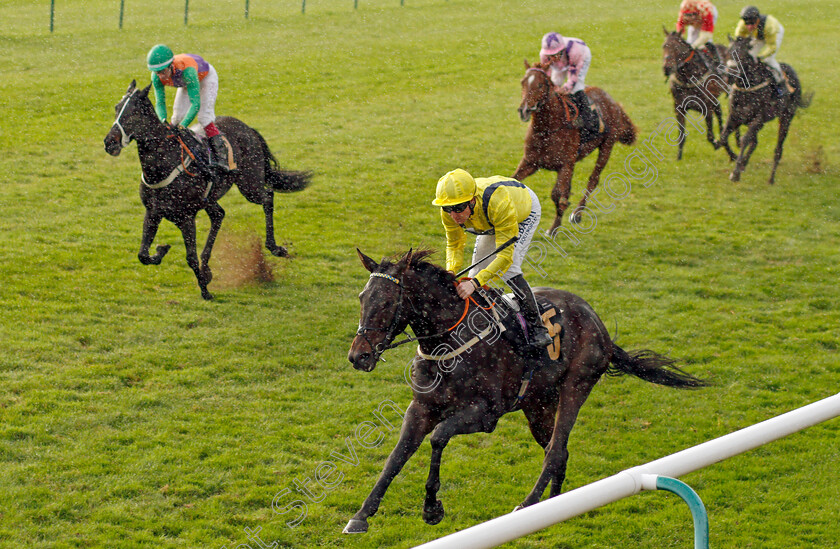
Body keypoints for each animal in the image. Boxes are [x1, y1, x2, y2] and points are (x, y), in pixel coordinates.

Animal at [104, 80, 310, 300]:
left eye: (134, 112)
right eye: (117, 108)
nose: (109, 142)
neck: (163, 164)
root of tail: (247, 128)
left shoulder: (186, 218)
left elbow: (190, 258)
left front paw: (204, 289)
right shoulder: (153, 212)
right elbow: (142, 254)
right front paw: (162, 250)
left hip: (249, 184)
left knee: (267, 197)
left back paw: (275, 248)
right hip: (211, 199)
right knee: (219, 214)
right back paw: (208, 266)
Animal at [344, 248, 704, 532]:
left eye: (386, 301)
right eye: (362, 297)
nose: (359, 356)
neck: (450, 340)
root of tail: (598, 323)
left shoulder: (485, 414)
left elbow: (439, 437)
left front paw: (432, 508)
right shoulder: (421, 409)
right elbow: (397, 456)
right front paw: (361, 515)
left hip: (576, 386)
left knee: (556, 449)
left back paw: (528, 504)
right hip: (537, 405)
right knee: (558, 451)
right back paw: (555, 505)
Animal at [512, 61, 636, 233]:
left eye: (540, 84)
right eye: (523, 82)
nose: (524, 110)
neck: (548, 128)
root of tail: (614, 103)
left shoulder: (564, 165)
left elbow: (556, 195)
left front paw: (554, 228)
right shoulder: (531, 162)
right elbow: (513, 180)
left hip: (607, 146)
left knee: (593, 179)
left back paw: (577, 214)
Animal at [660, 29, 732, 161]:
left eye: (677, 47)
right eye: (664, 46)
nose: (666, 68)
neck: (687, 78)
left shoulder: (707, 108)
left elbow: (710, 136)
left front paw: (719, 145)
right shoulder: (679, 108)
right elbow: (681, 136)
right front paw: (678, 158)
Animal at [716, 38, 812, 186]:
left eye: (742, 55)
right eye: (727, 53)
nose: (728, 75)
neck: (746, 88)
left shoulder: (758, 118)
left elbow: (744, 140)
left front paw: (735, 173)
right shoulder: (735, 117)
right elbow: (723, 137)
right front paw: (735, 159)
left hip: (786, 117)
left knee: (778, 149)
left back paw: (771, 179)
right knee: (755, 142)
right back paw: (745, 164)